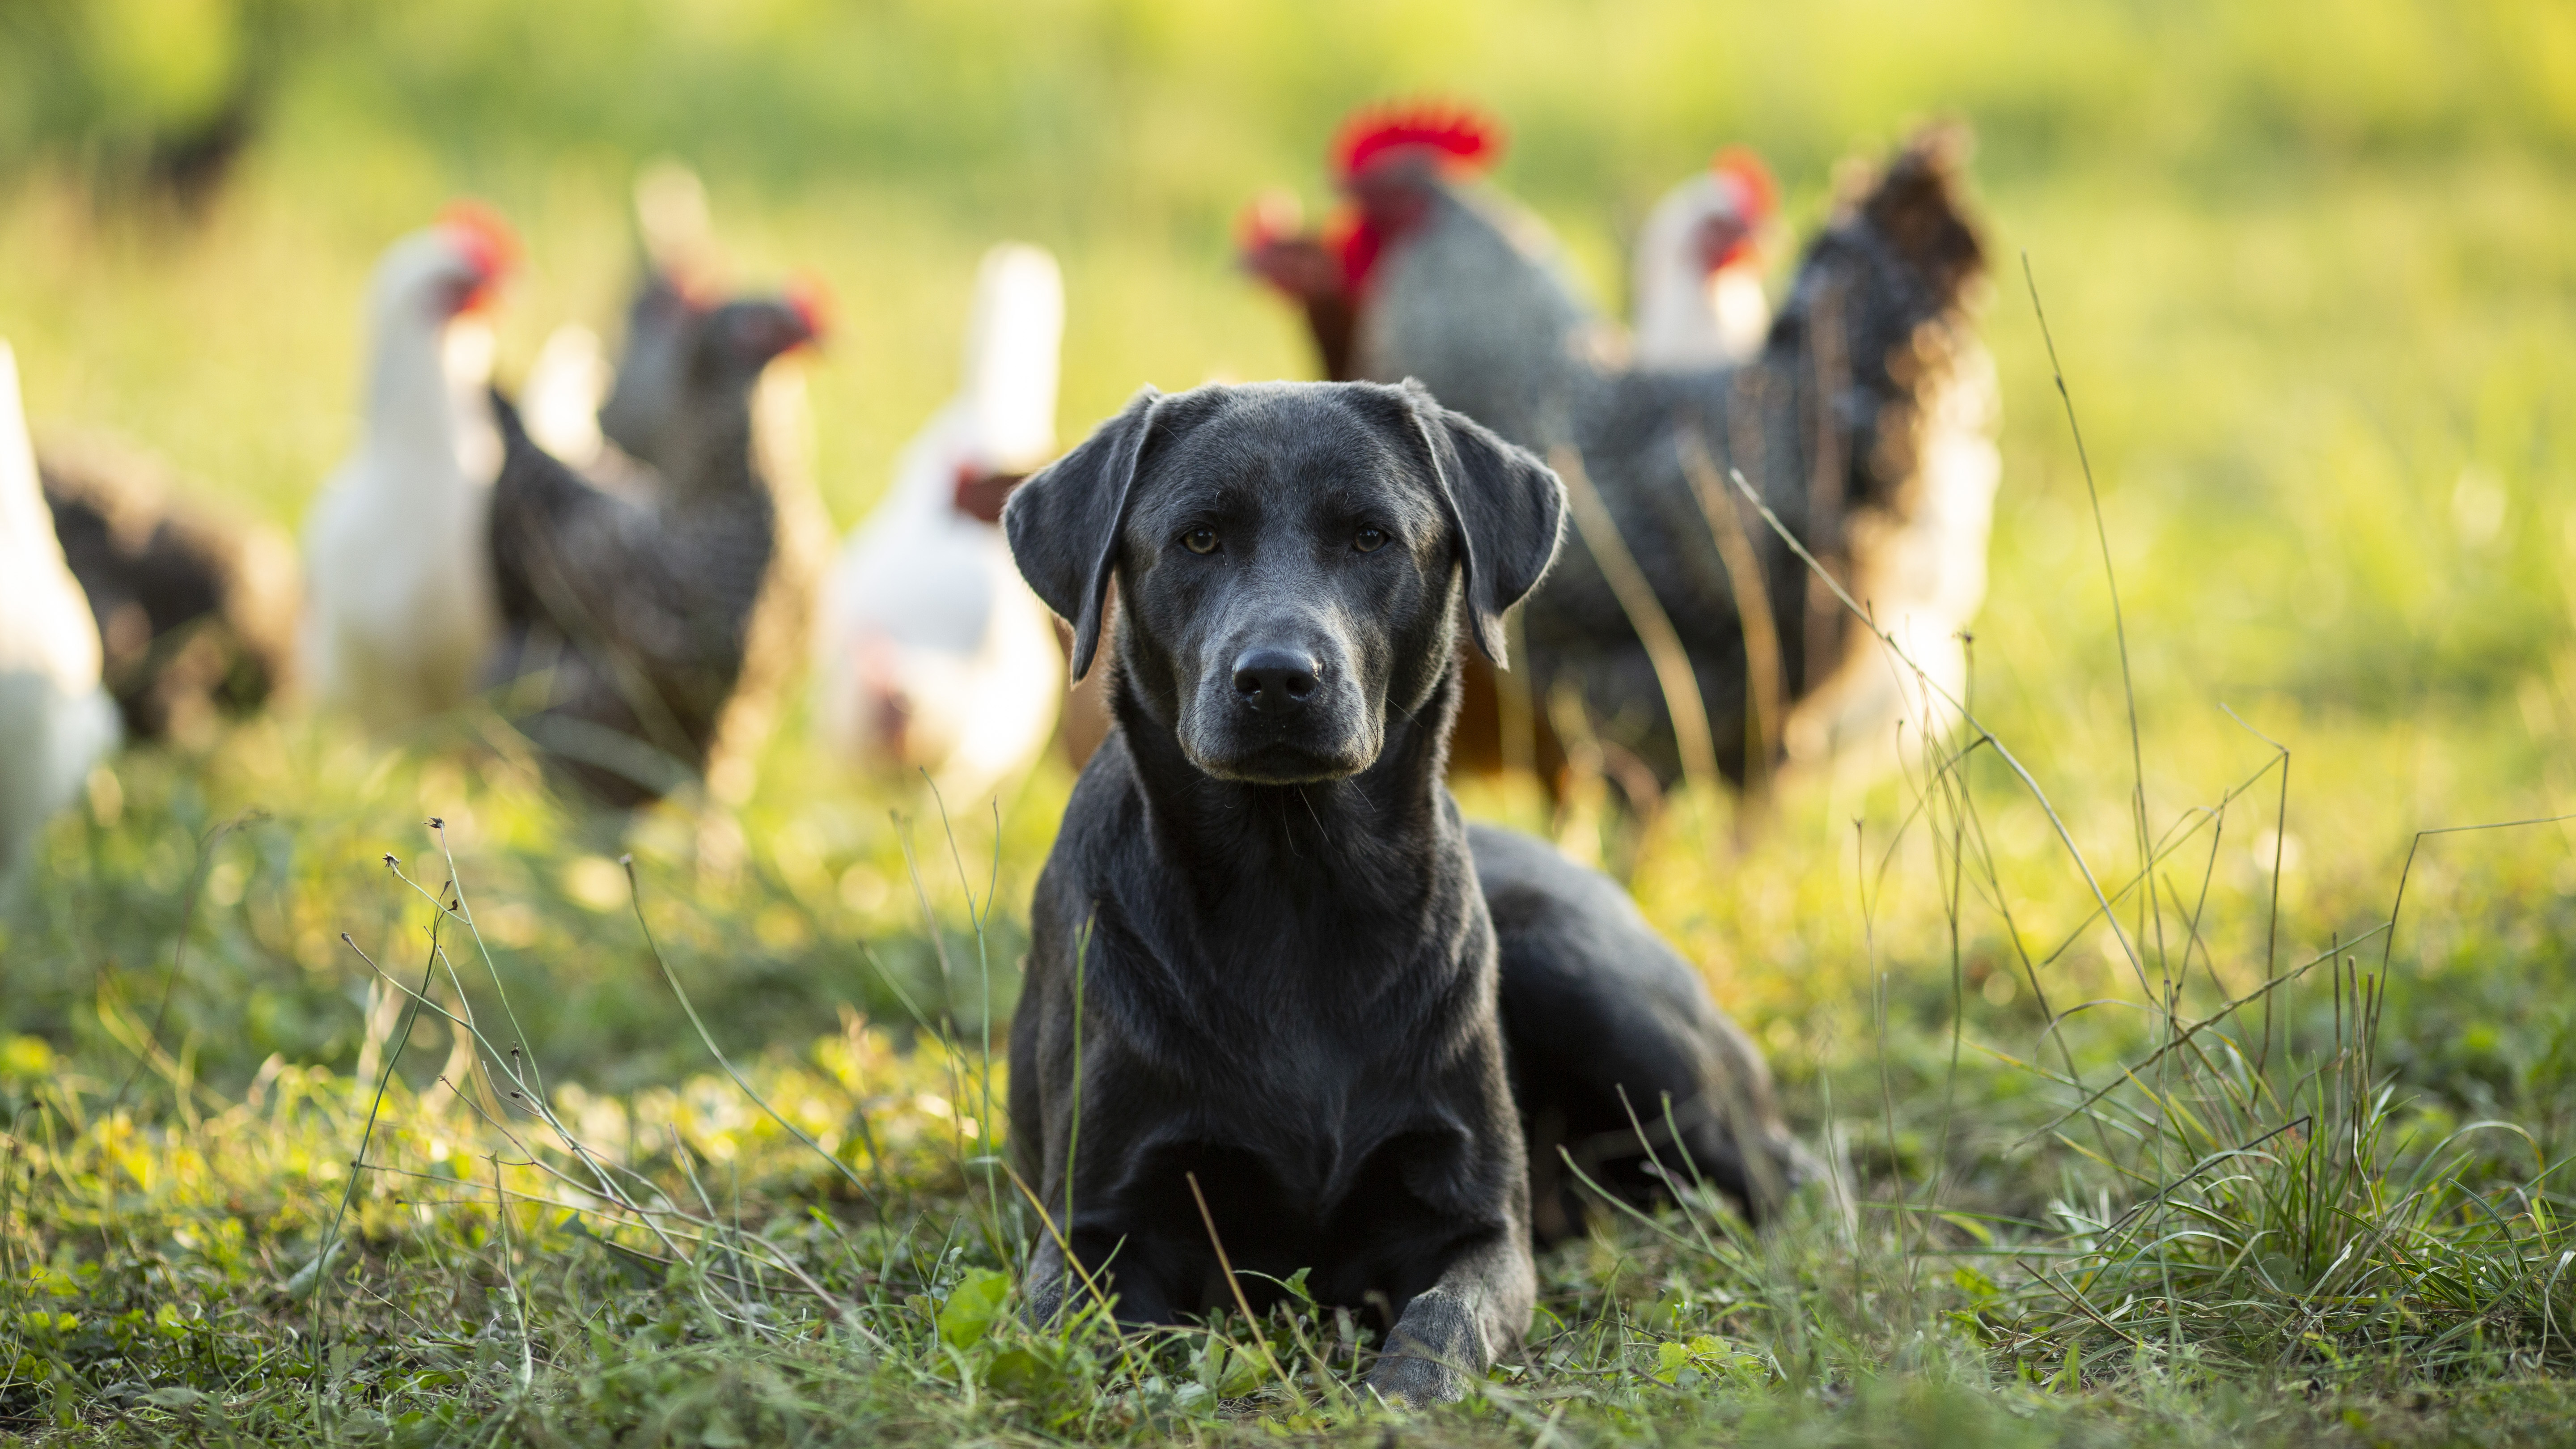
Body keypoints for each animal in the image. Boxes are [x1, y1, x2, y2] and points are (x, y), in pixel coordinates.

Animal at [1004, 373, 1813, 1402]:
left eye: (1371, 537)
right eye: (1197, 538)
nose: (1278, 678)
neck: (1295, 885)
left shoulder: (1478, 1225)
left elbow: (1444, 1318)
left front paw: (1401, 1397)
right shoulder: (1093, 1226)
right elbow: (1082, 1335)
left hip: (1604, 998)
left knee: (1783, 1165)